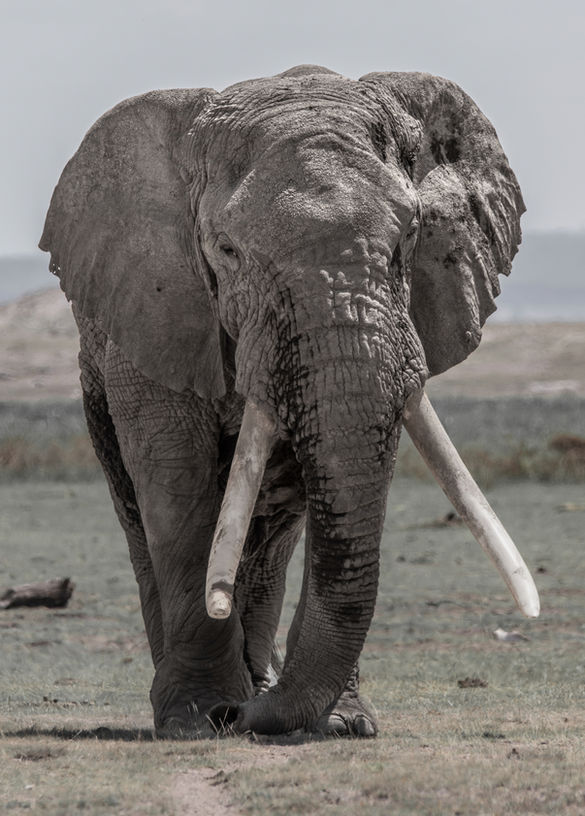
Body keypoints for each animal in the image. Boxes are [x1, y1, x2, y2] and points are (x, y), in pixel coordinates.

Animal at [39, 64, 539, 739]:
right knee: (140, 511)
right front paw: (198, 718)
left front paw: (342, 725)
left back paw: (260, 682)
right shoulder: (152, 317)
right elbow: (174, 479)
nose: (241, 716)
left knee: (271, 533)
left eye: (409, 239)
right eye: (227, 251)